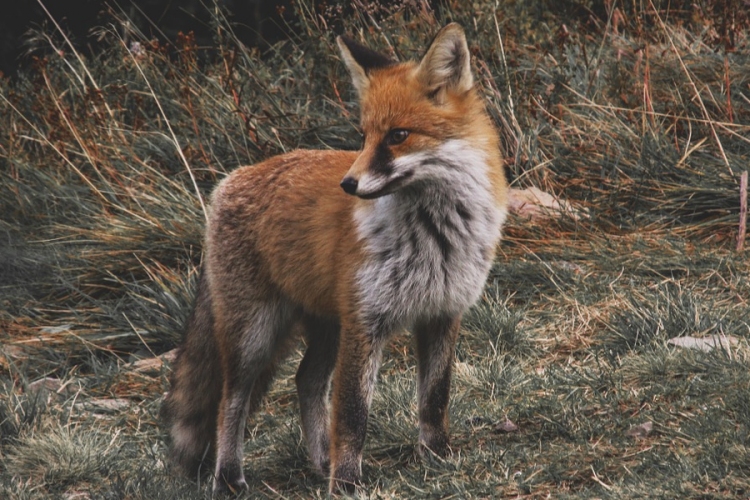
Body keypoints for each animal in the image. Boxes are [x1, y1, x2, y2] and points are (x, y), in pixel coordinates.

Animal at [161, 21, 508, 494]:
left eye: (398, 135)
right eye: (363, 136)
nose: (349, 184)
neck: (434, 235)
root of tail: (231, 179)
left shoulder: (442, 312)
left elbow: (435, 398)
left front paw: (436, 456)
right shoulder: (365, 322)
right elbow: (352, 414)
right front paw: (345, 483)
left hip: (326, 327)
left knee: (305, 380)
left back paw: (318, 460)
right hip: (255, 335)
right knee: (230, 401)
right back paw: (230, 477)